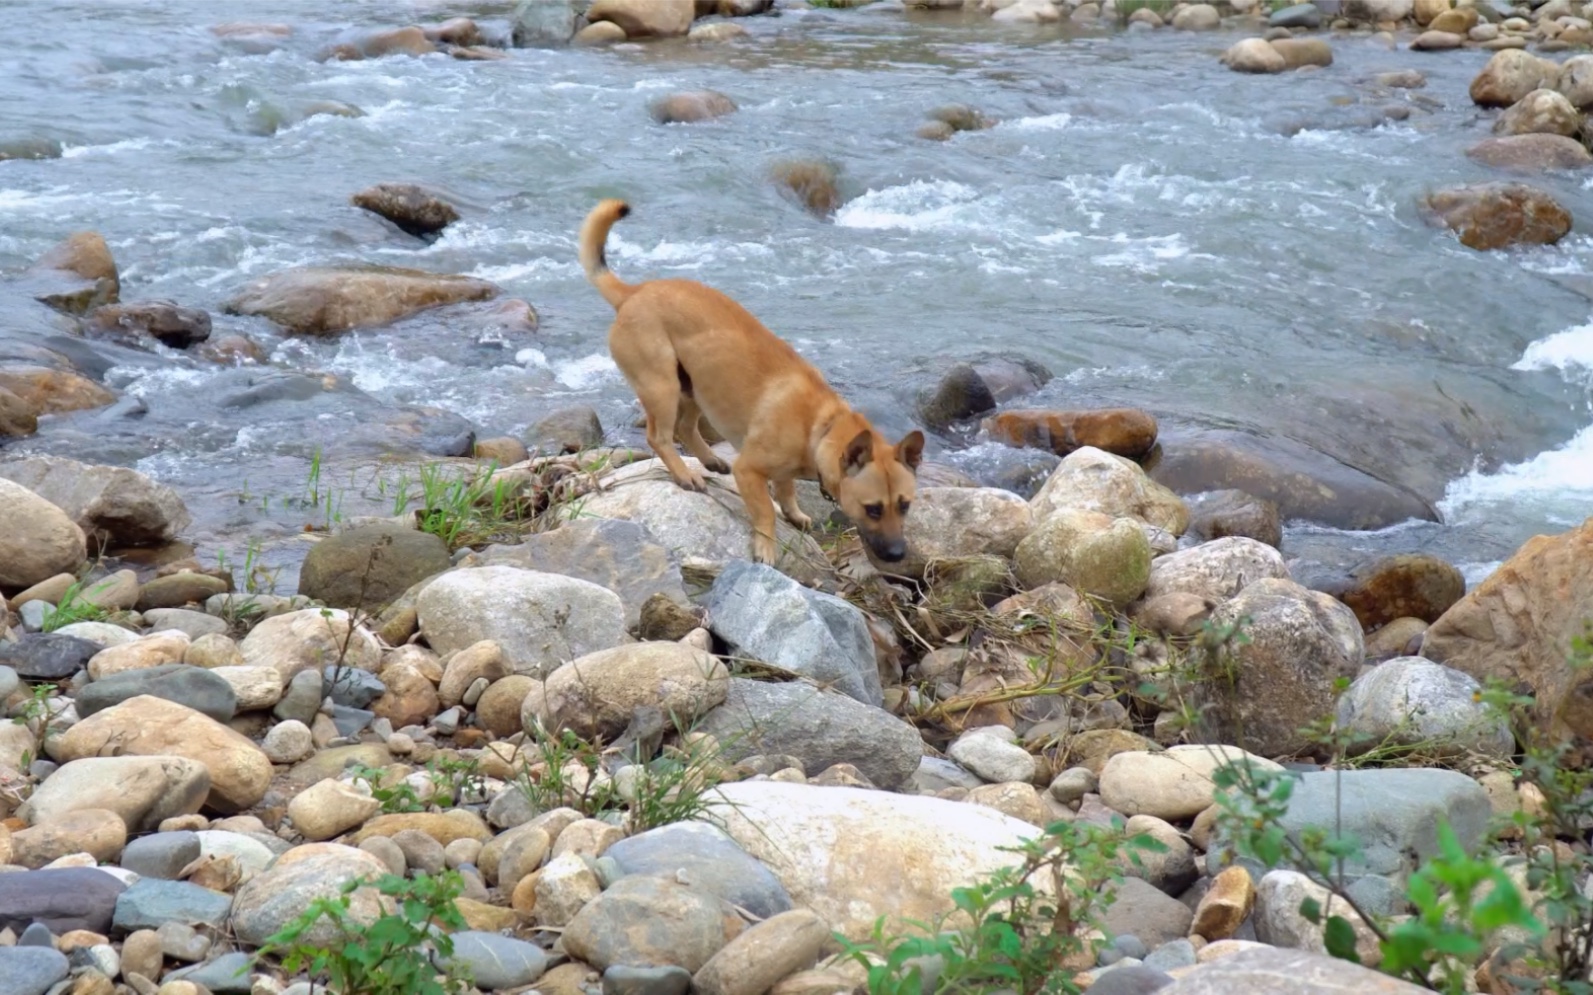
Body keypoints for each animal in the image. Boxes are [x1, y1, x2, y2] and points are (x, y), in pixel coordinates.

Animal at [579, 196, 930, 563]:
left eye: (905, 506)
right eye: (872, 509)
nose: (898, 554)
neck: (820, 427)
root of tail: (632, 292)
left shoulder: (784, 471)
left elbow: (786, 490)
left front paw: (793, 513)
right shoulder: (748, 471)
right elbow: (764, 511)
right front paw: (766, 546)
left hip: (697, 386)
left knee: (685, 427)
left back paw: (709, 460)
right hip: (662, 387)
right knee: (659, 437)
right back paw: (685, 473)